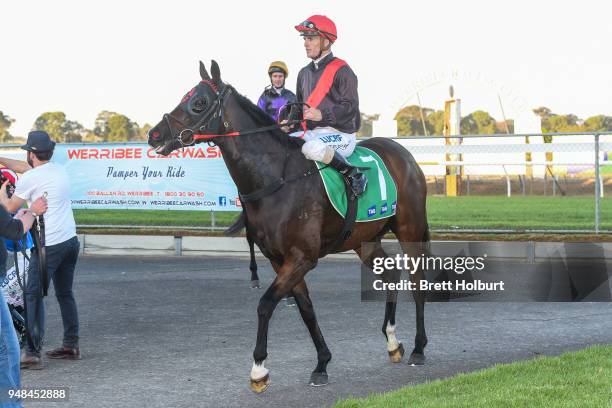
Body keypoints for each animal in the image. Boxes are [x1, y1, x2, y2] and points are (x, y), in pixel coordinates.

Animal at [147, 59, 430, 392]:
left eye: (199, 102)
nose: (154, 135)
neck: (276, 179)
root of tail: (404, 155)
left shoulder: (301, 257)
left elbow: (265, 303)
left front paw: (259, 369)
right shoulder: (279, 259)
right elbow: (306, 309)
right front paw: (322, 362)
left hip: (410, 229)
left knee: (418, 281)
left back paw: (418, 347)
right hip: (364, 239)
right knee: (390, 273)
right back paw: (392, 341)